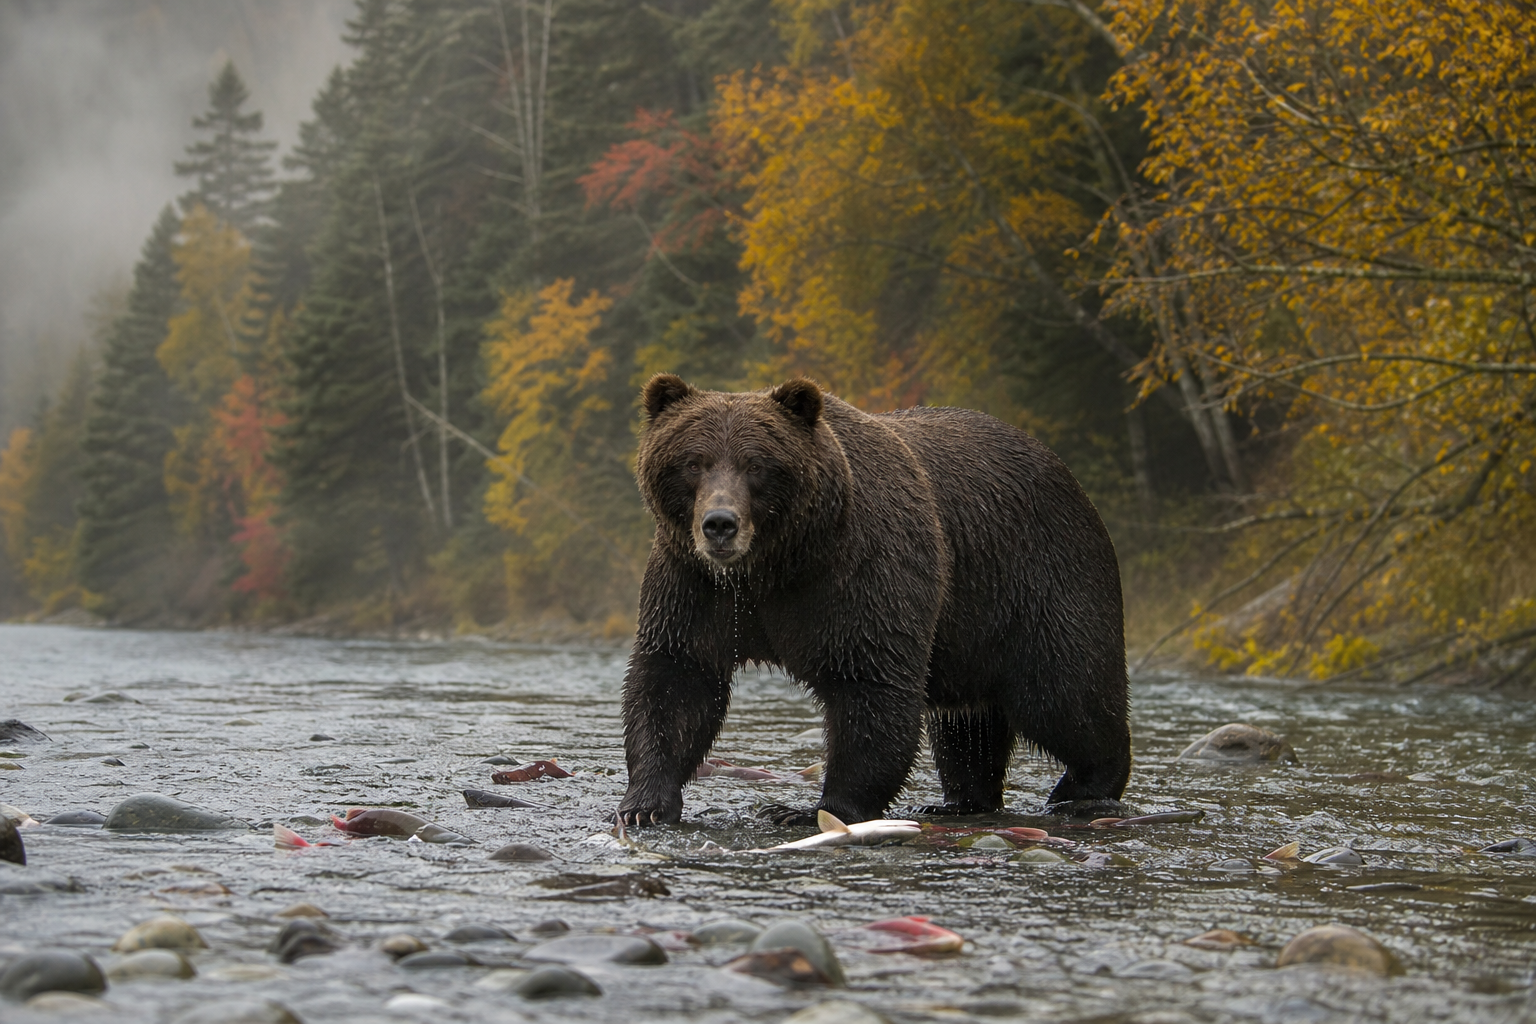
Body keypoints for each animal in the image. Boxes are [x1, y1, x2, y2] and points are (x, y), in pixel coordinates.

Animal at [616, 374, 1131, 827]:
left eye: (755, 464)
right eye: (693, 461)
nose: (720, 523)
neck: (774, 565)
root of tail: (1067, 475)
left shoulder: (860, 571)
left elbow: (870, 683)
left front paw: (812, 810)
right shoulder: (696, 585)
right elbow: (677, 679)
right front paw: (644, 804)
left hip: (1040, 580)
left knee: (1065, 692)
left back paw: (1083, 789)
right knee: (968, 722)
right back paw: (958, 801)